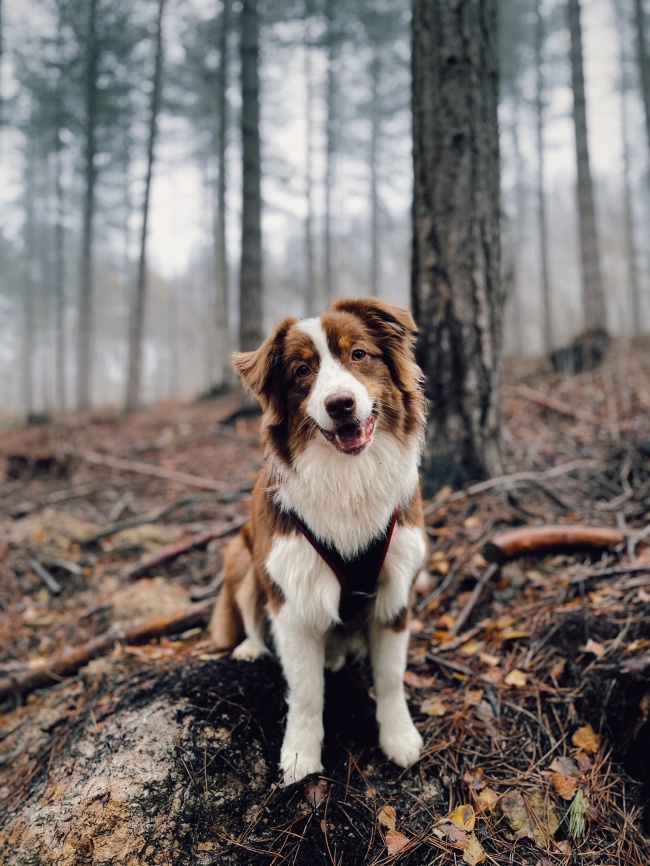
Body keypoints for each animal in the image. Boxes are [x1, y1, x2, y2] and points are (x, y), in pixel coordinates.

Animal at [208, 296, 428, 784]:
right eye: (301, 371)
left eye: (359, 354)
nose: (340, 404)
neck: (347, 478)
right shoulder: (291, 599)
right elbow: (307, 693)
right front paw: (299, 756)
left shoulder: (395, 590)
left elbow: (390, 678)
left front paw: (399, 737)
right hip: (241, 557)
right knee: (248, 611)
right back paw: (250, 648)